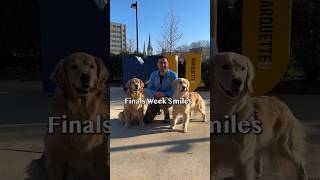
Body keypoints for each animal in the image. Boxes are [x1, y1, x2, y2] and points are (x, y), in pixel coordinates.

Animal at [25, 51, 110, 180]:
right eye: (74, 67)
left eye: (92, 66)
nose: (86, 76)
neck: (81, 110)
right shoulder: (56, 156)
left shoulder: (99, 158)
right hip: (34, 165)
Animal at [210, 51, 308, 179]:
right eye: (225, 66)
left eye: (243, 68)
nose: (238, 82)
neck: (227, 111)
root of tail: (280, 102)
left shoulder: (242, 159)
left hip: (285, 145)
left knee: (300, 162)